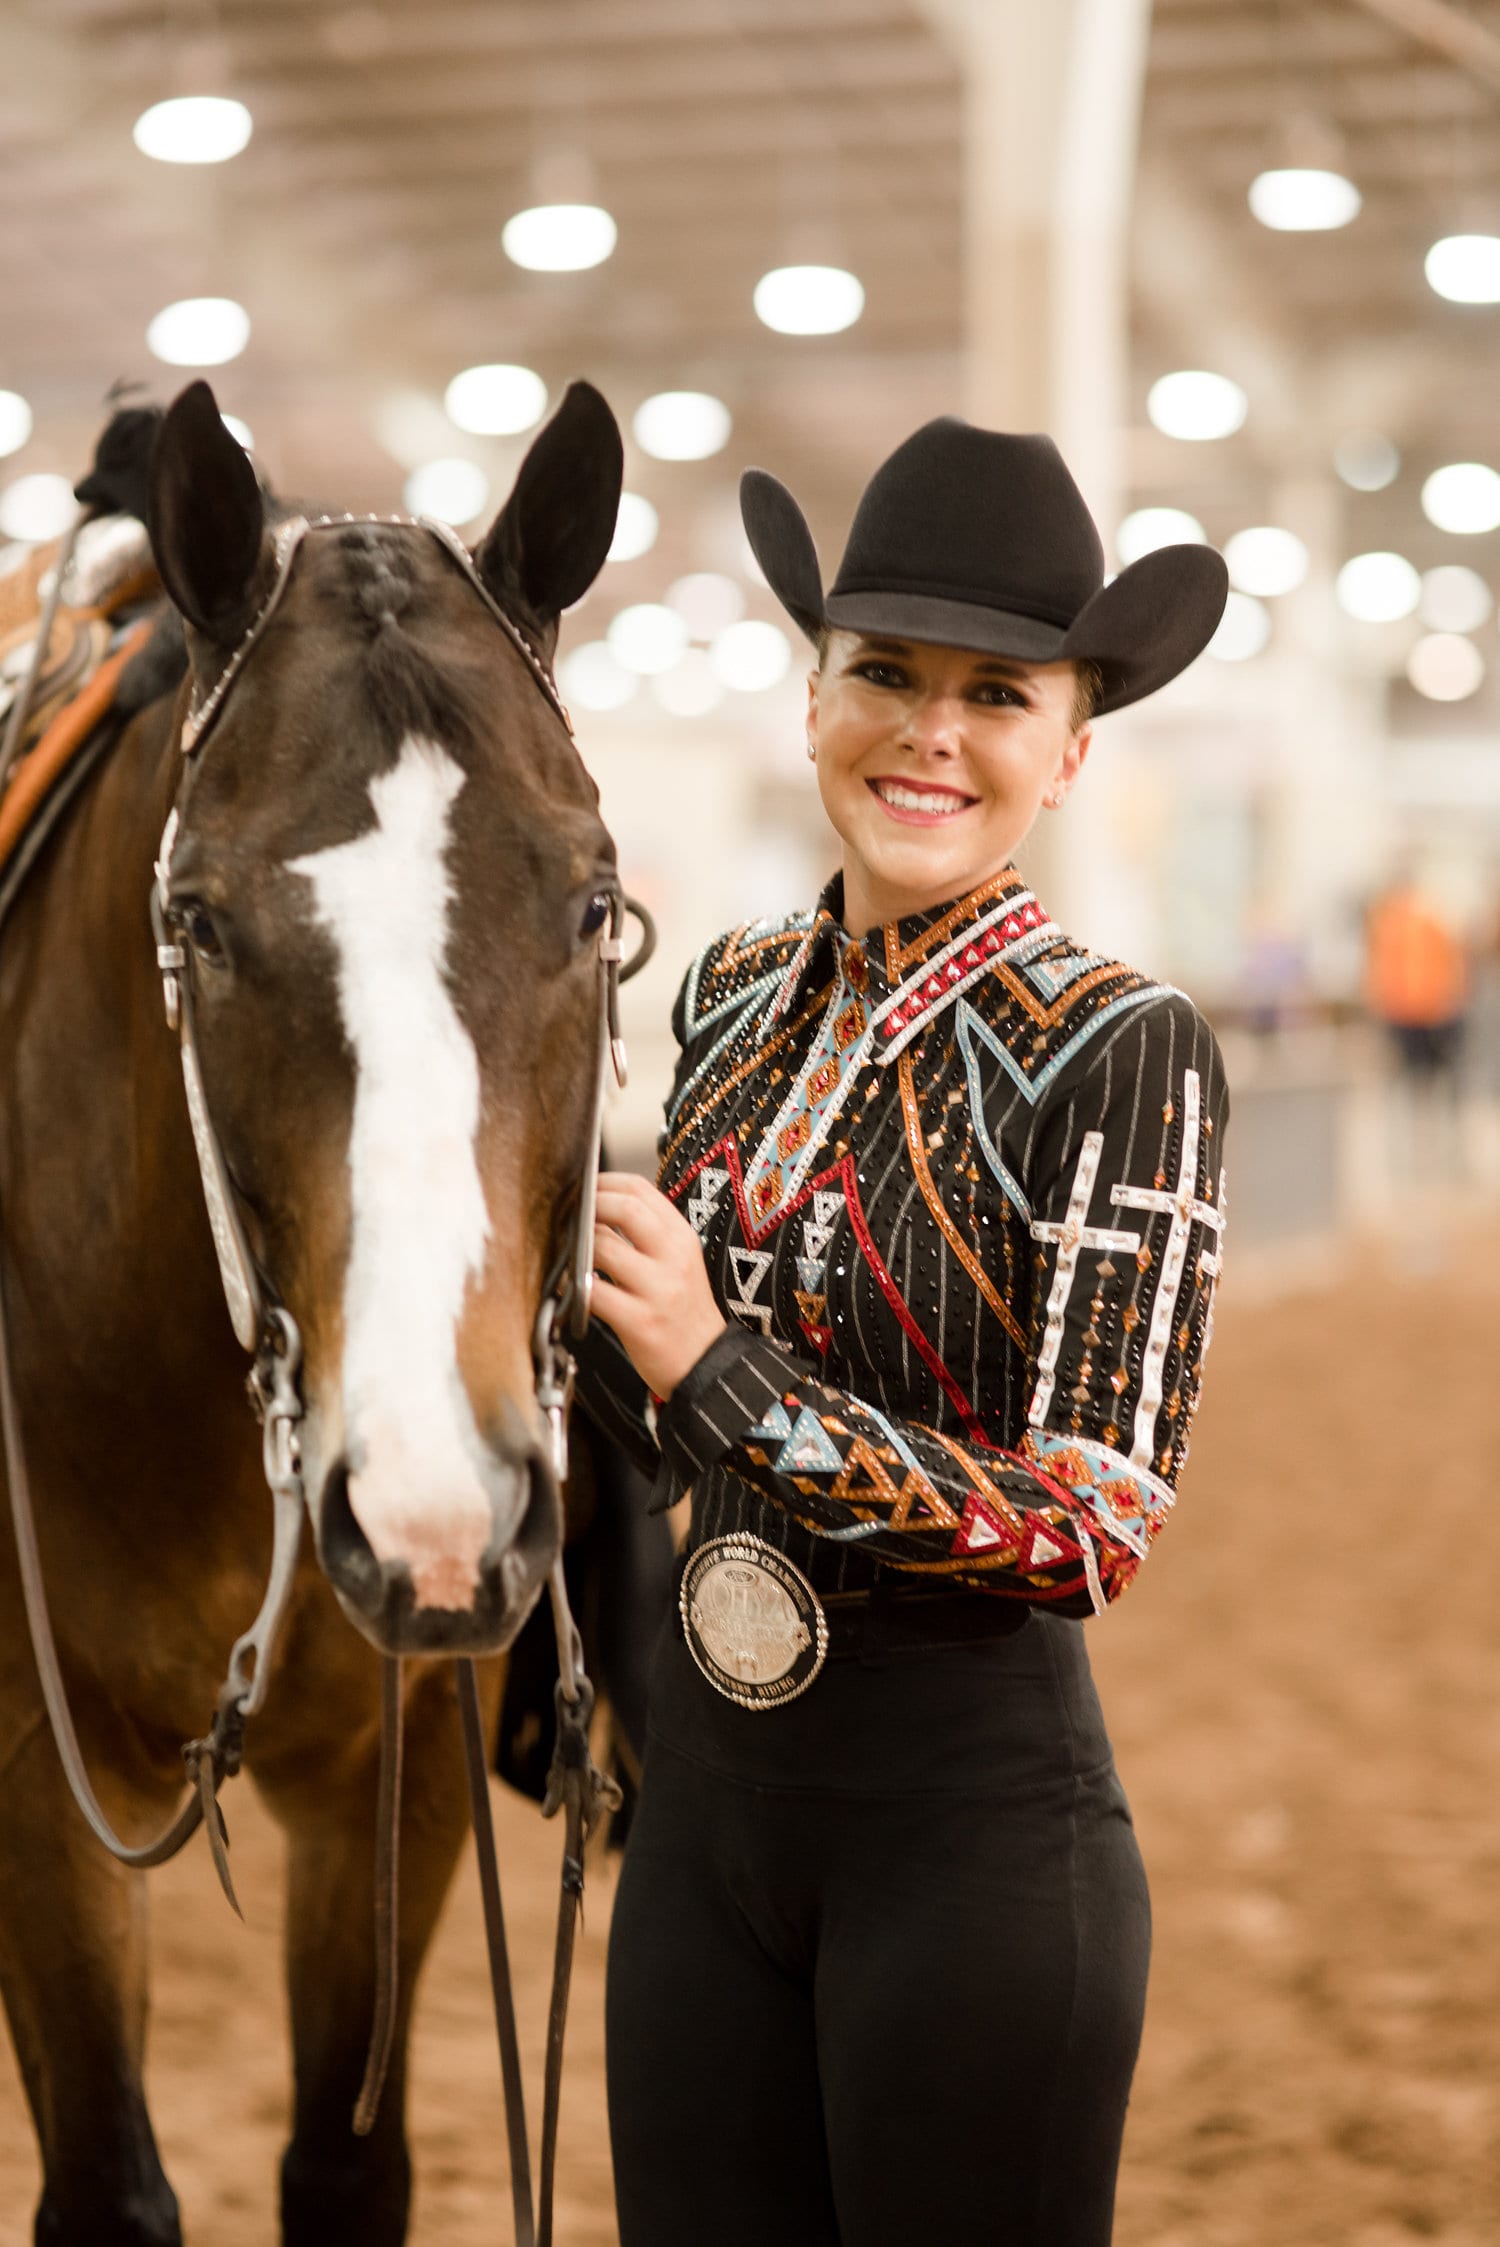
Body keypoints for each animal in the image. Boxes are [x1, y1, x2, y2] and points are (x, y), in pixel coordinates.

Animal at [0, 377, 628, 2238]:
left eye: (591, 903)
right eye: (198, 920)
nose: (439, 1509)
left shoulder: (394, 1776)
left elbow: (348, 2164)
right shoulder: (34, 1785)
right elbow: (108, 2183)